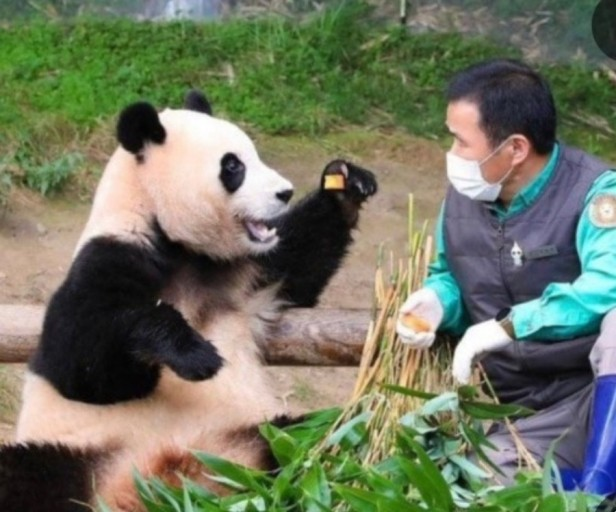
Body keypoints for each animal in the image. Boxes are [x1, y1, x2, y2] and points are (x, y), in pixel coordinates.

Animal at [0, 90, 376, 510]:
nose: (285, 192)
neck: (178, 247)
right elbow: (81, 365)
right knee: (22, 475)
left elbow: (301, 264)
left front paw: (346, 185)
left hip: (266, 437)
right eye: (233, 165)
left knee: (333, 432)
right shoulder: (107, 259)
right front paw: (194, 354)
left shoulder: (250, 272)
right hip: (75, 456)